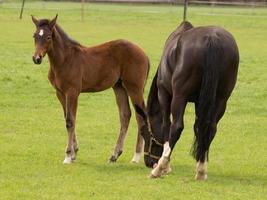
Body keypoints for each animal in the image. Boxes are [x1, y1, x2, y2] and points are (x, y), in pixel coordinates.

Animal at [31, 15, 151, 165]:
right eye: (35, 36)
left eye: (48, 37)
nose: (36, 58)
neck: (64, 59)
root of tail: (144, 54)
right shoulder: (60, 93)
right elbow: (68, 118)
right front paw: (74, 153)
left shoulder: (72, 92)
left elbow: (70, 121)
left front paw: (68, 156)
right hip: (119, 87)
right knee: (125, 115)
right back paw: (114, 155)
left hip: (134, 88)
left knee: (140, 116)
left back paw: (136, 156)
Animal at [142, 21, 241, 180]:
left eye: (145, 133)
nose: (149, 162)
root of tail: (212, 38)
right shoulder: (200, 102)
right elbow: (198, 128)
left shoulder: (164, 94)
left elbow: (166, 126)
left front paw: (165, 166)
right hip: (221, 100)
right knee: (211, 128)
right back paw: (201, 170)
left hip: (179, 96)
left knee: (177, 126)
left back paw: (159, 168)